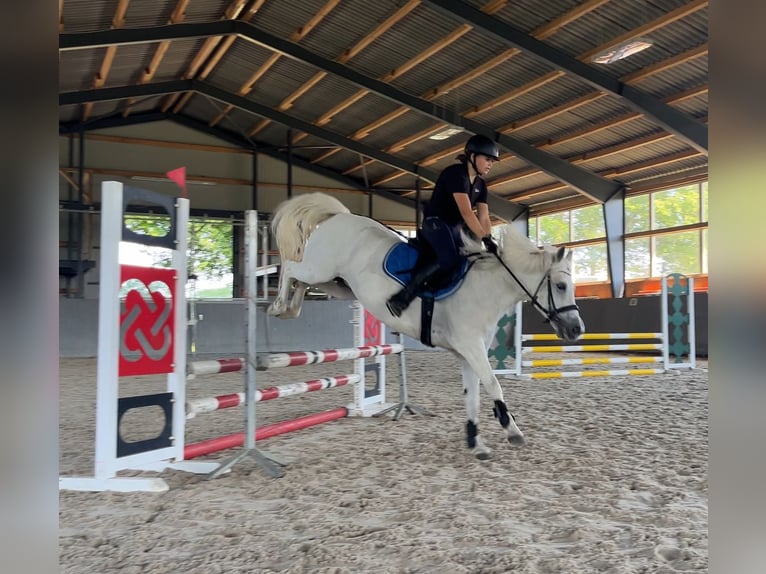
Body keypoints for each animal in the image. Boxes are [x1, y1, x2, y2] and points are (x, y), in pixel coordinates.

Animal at [268, 194, 584, 464]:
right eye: (561, 286)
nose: (576, 329)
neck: (487, 287)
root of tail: (341, 216)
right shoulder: (471, 346)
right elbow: (494, 384)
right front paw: (512, 431)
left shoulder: (467, 353)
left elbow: (473, 396)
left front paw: (475, 443)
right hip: (320, 269)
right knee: (291, 268)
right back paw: (278, 306)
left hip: (337, 283)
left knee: (300, 280)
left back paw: (289, 308)